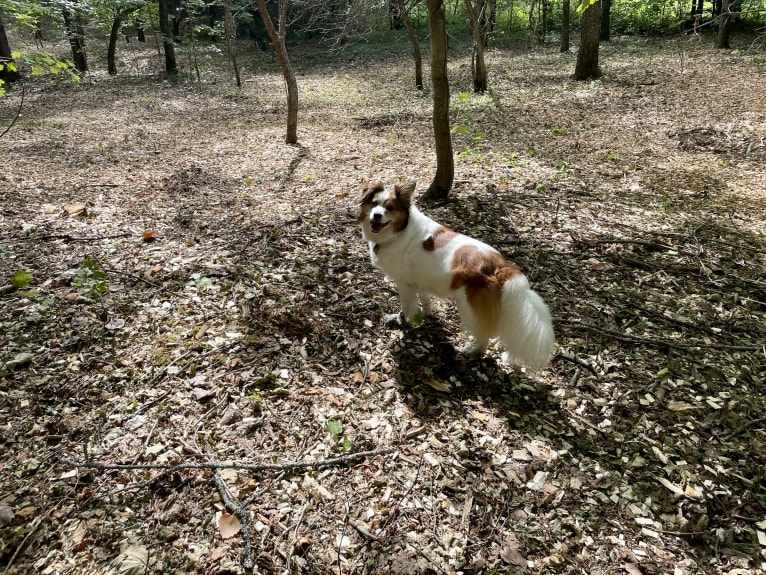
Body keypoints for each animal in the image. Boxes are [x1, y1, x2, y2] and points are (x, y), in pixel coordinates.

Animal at [358, 182, 552, 372]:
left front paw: (401, 321)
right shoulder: (418, 280)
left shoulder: (404, 283)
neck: (399, 232)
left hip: (469, 308)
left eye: (390, 208)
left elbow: (407, 308)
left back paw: (473, 352)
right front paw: (426, 315)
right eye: (374, 204)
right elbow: (425, 300)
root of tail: (502, 266)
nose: (376, 215)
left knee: (484, 334)